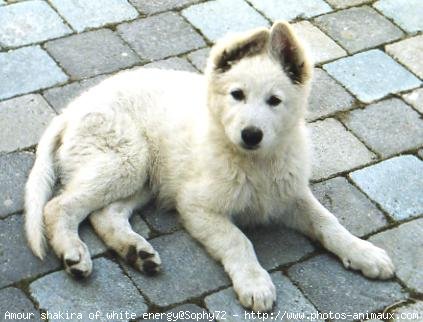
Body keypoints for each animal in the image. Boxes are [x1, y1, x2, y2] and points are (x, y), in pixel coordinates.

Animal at [24, 20, 396, 312]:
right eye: (236, 95)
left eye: (274, 101)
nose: (251, 134)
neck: (253, 162)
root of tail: (70, 110)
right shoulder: (197, 206)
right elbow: (237, 240)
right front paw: (255, 282)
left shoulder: (289, 193)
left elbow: (328, 222)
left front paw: (363, 252)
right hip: (126, 160)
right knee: (59, 206)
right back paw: (73, 253)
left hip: (145, 177)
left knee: (104, 214)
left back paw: (135, 252)